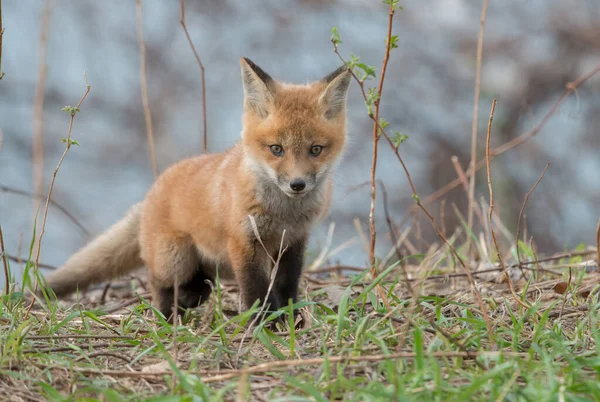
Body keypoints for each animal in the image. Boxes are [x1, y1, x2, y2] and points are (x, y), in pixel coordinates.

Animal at [43, 58, 352, 318]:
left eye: (316, 150)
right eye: (277, 149)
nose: (297, 184)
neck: (284, 213)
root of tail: (152, 191)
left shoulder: (294, 241)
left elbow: (286, 286)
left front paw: (289, 319)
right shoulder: (244, 242)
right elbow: (256, 291)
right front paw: (265, 324)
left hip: (206, 267)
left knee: (197, 287)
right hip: (174, 261)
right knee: (158, 283)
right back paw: (167, 316)